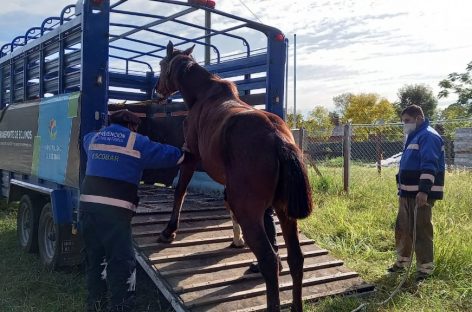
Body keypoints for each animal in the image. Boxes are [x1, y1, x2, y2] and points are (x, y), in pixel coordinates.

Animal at [155, 42, 314, 312]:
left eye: (161, 64)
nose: (157, 90)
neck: (203, 95)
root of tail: (279, 140)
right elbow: (226, 203)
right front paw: (236, 240)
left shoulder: (190, 155)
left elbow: (180, 191)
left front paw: (169, 230)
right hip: (284, 212)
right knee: (295, 258)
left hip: (251, 211)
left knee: (270, 260)